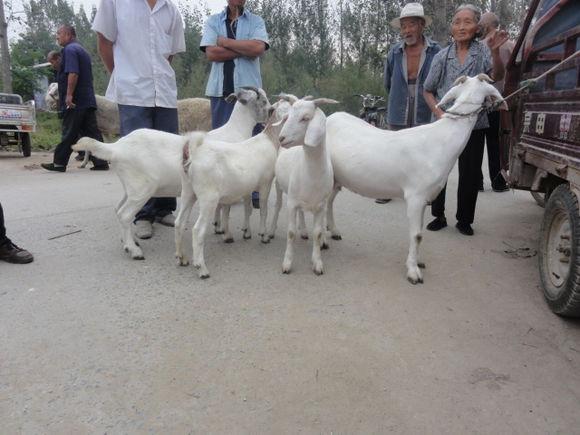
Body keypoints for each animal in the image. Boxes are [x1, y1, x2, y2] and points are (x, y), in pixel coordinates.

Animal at [71, 87, 270, 260]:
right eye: (261, 99)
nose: (271, 111)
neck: (234, 132)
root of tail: (116, 148)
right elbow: (227, 210)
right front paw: (227, 235)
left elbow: (221, 209)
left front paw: (218, 227)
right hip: (142, 188)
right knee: (125, 214)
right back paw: (135, 251)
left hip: (130, 187)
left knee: (118, 209)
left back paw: (129, 243)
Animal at [276, 96, 336, 276]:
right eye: (288, 116)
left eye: (305, 118)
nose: (281, 138)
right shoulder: (292, 203)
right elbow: (290, 233)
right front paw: (287, 263)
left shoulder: (321, 205)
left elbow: (317, 233)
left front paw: (317, 262)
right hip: (281, 188)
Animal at [324, 74, 506, 286]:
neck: (441, 141)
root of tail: (329, 117)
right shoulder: (415, 197)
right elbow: (416, 235)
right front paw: (413, 272)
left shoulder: (425, 198)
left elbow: (419, 233)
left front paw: (418, 262)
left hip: (336, 179)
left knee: (328, 202)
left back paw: (333, 230)